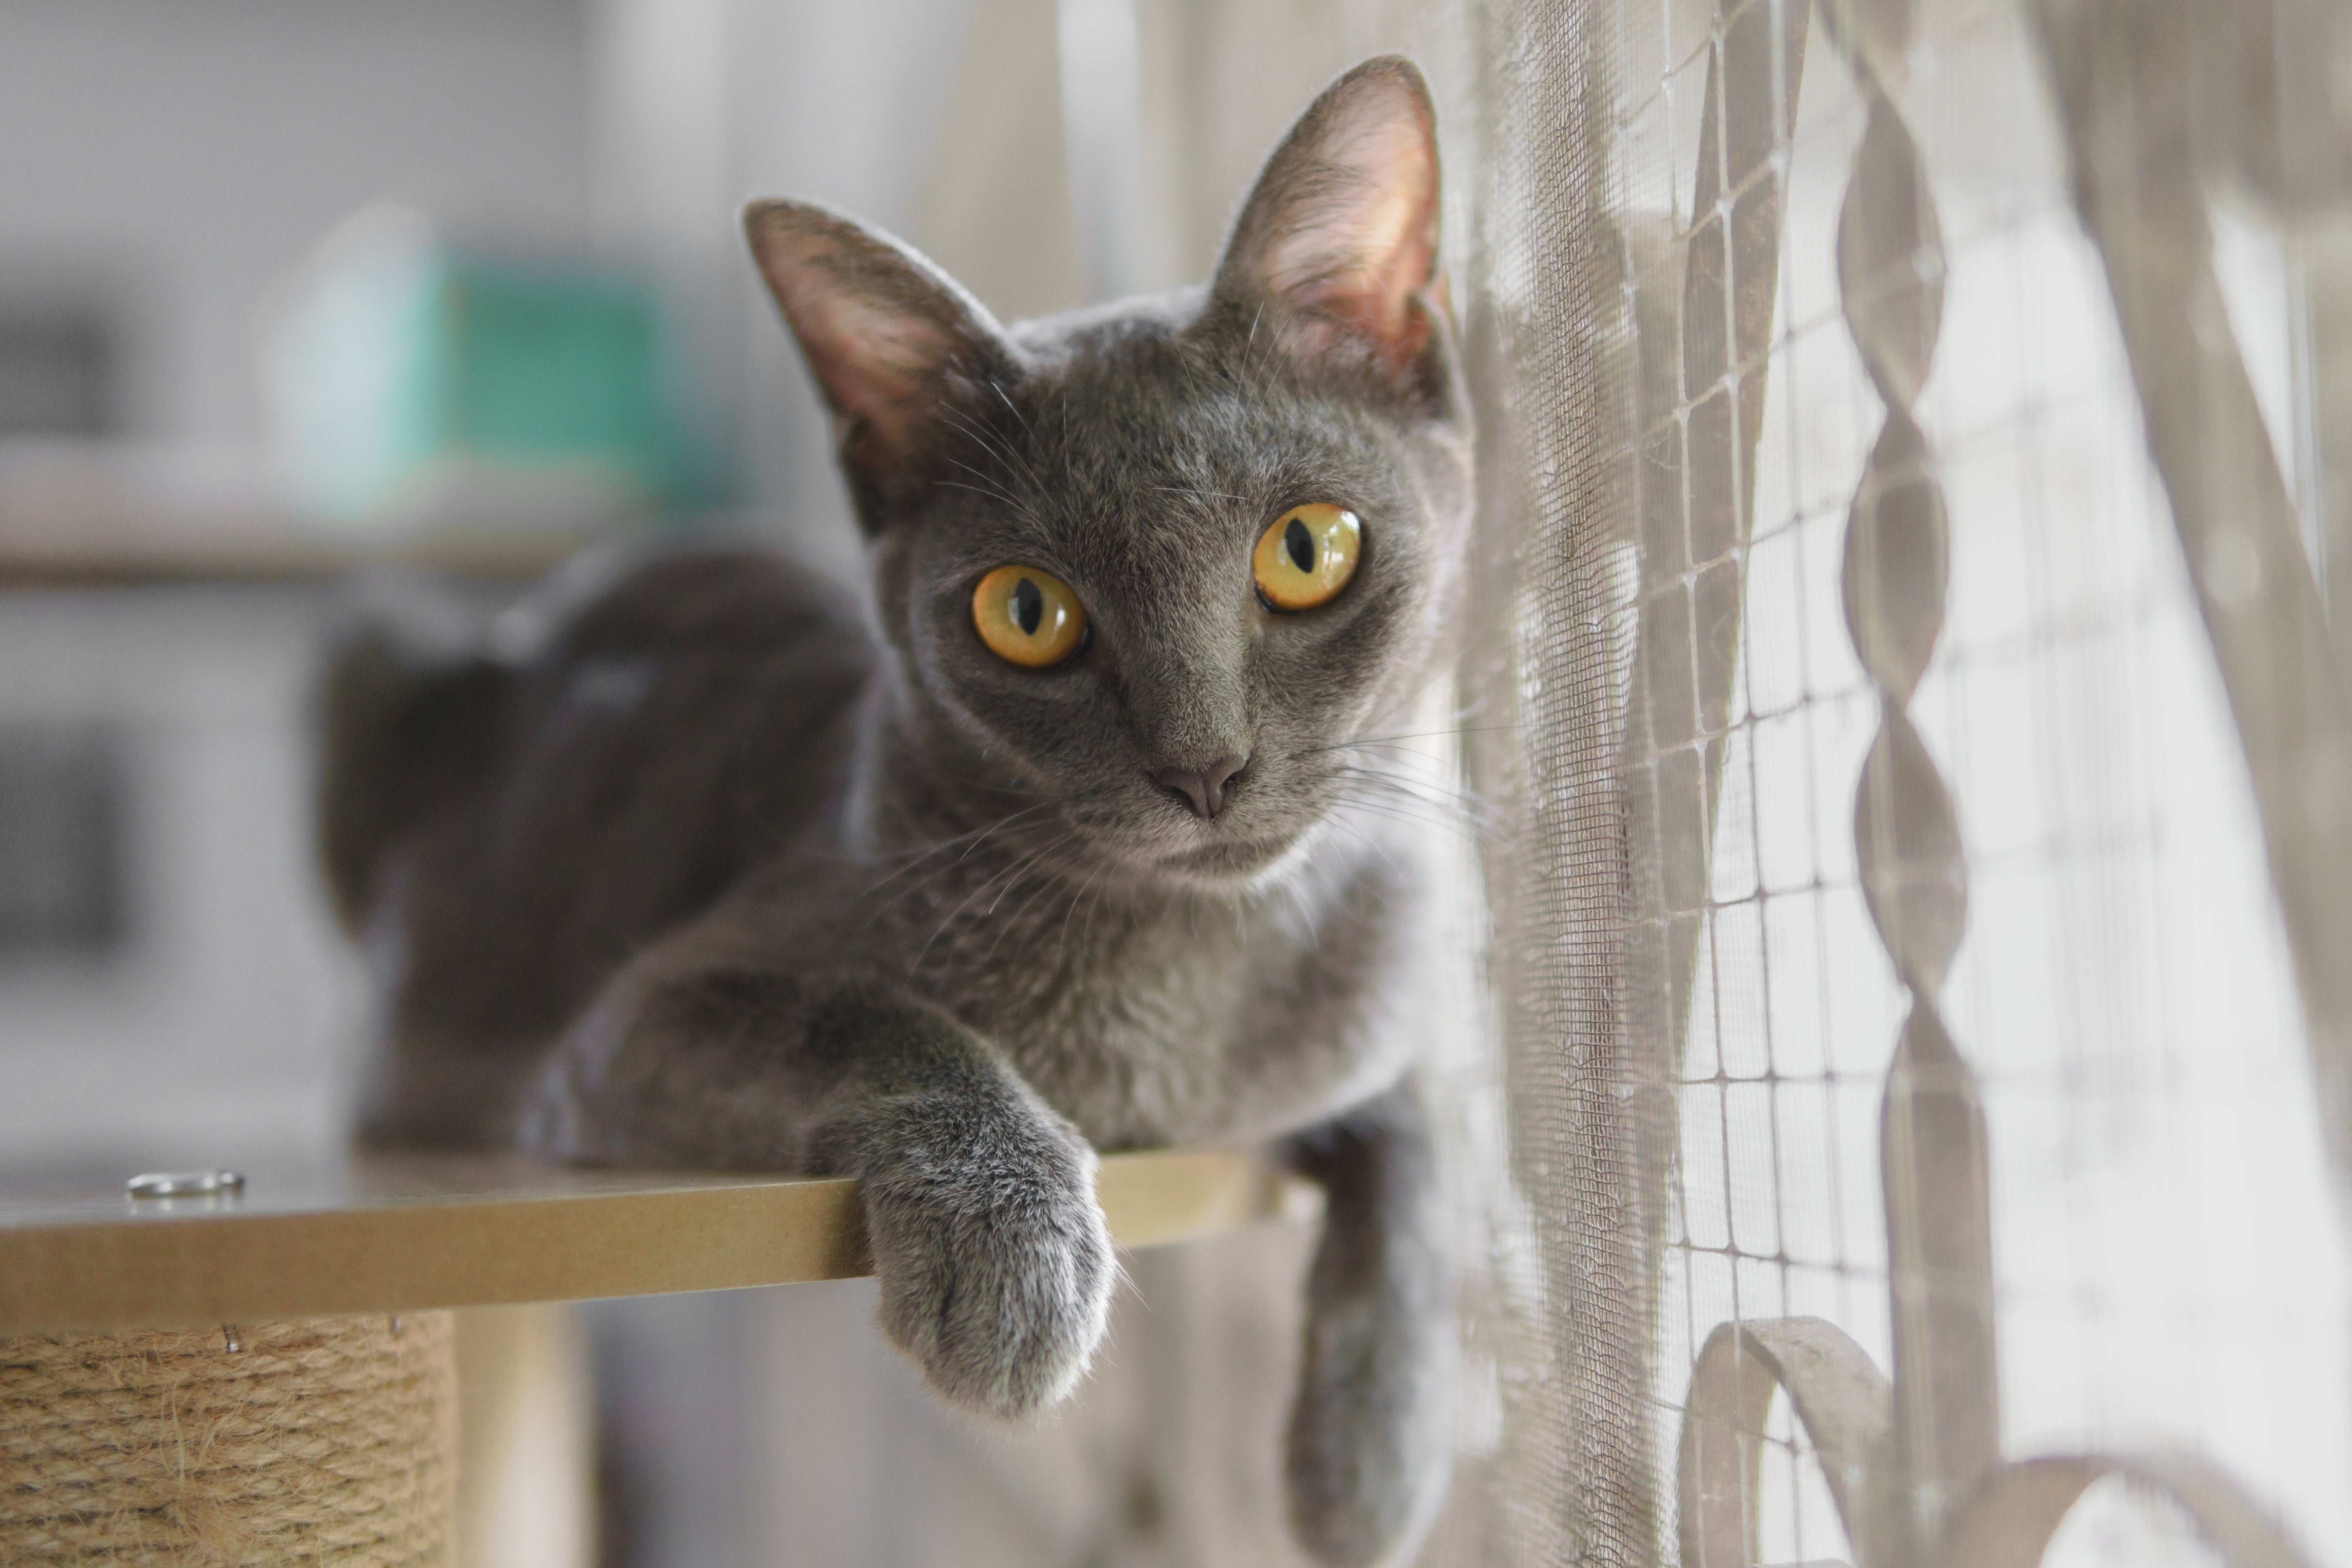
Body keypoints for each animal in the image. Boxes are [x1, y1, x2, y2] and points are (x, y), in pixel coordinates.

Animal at [320, 55, 1468, 1561]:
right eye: (1027, 612)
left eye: (1308, 549)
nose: (1205, 767)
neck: (1185, 1009)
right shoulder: (627, 1028)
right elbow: (873, 1014)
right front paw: (1018, 1259)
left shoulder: (1369, 1026)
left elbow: (1422, 1134)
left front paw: (1378, 1455)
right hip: (372, 656)